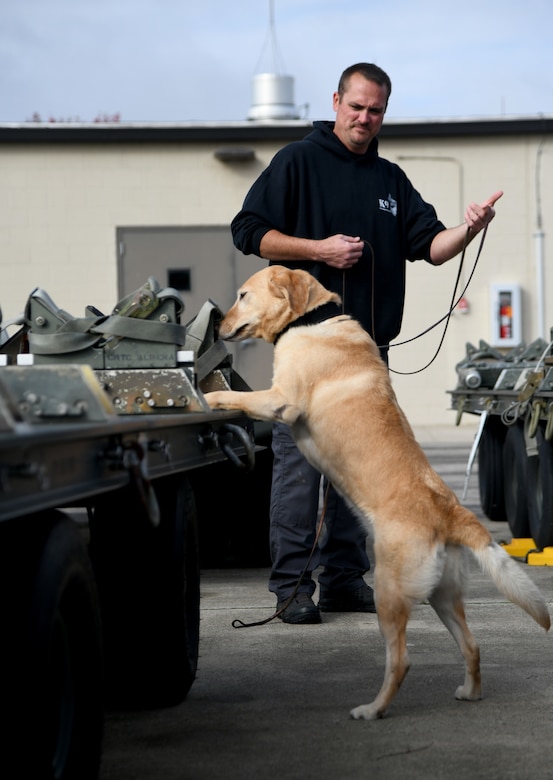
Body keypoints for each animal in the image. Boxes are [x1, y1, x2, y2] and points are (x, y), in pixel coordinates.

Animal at [204, 264, 548, 720]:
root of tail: (452, 513)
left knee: (401, 660)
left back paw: (372, 709)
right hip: (443, 596)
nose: (217, 326)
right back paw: (469, 692)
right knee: (473, 646)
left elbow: (231, 396)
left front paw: (204, 394)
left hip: (390, 592)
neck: (310, 319)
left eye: (243, 295)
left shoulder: (280, 401)